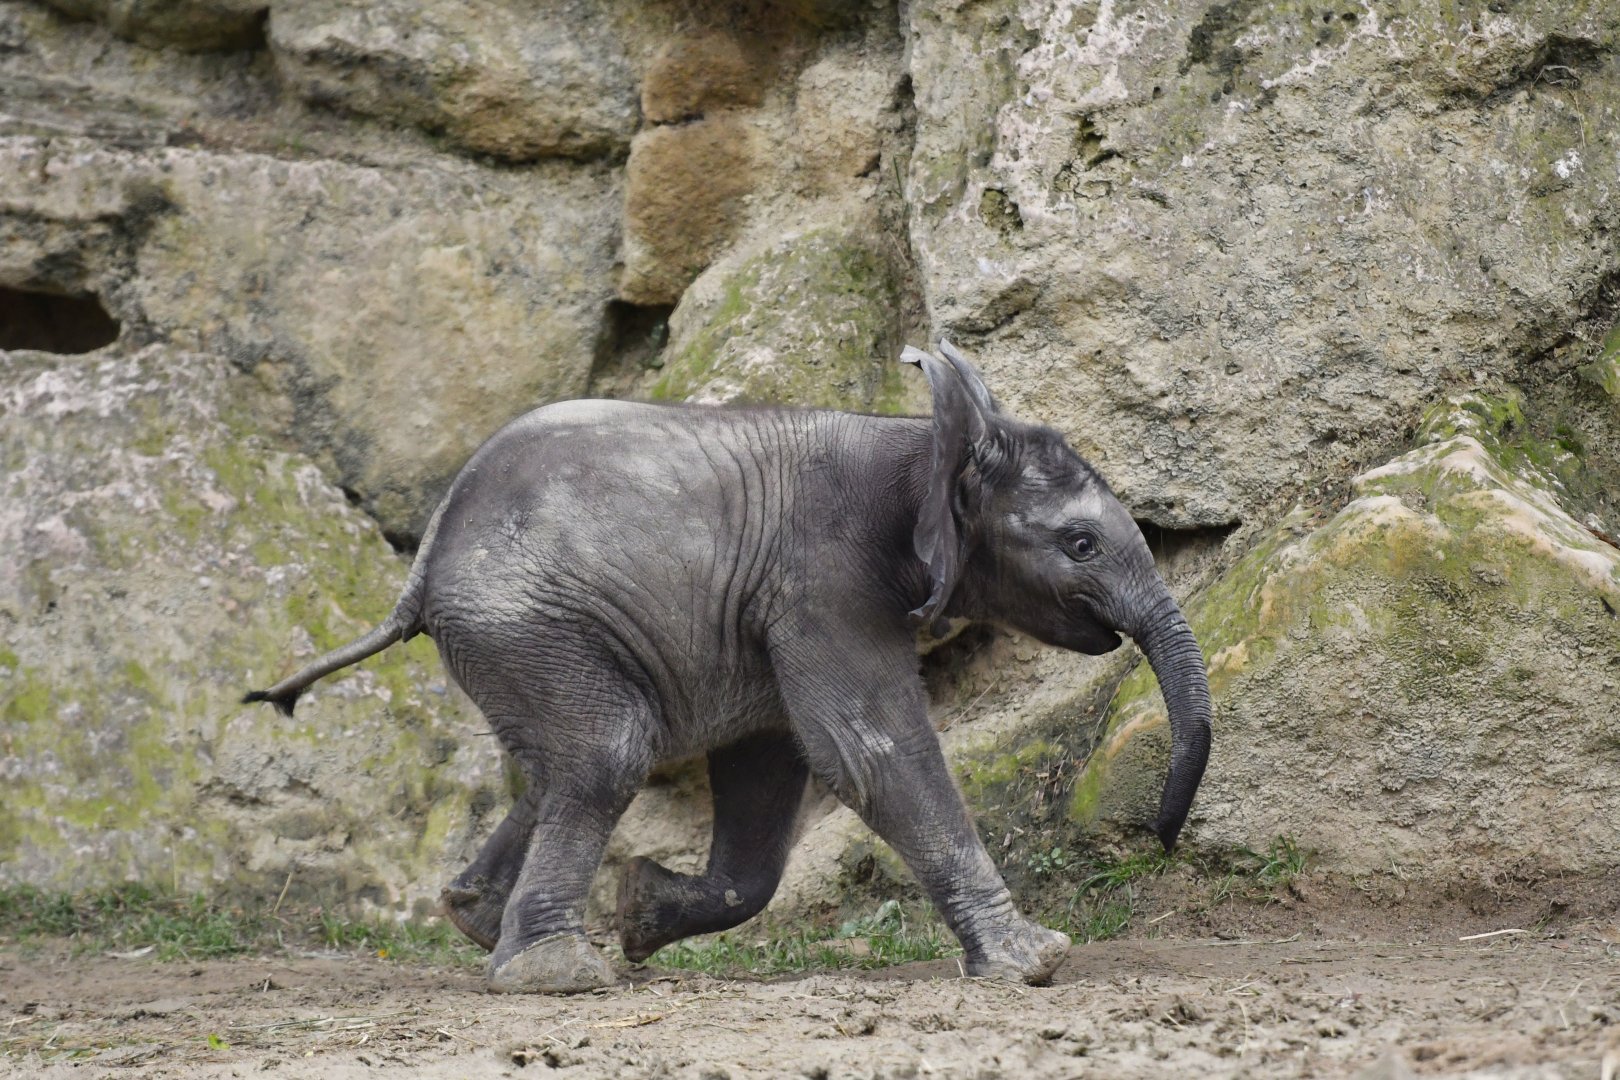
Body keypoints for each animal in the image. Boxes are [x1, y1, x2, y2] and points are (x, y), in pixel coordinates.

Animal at [244, 341, 1212, 994]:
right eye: (1080, 544)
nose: (1164, 839)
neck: (922, 441)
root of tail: (422, 564)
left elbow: (769, 768)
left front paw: (641, 913)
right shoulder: (826, 576)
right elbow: (869, 750)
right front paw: (1033, 964)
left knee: (562, 766)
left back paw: (487, 926)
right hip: (527, 619)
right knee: (607, 753)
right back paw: (557, 973)